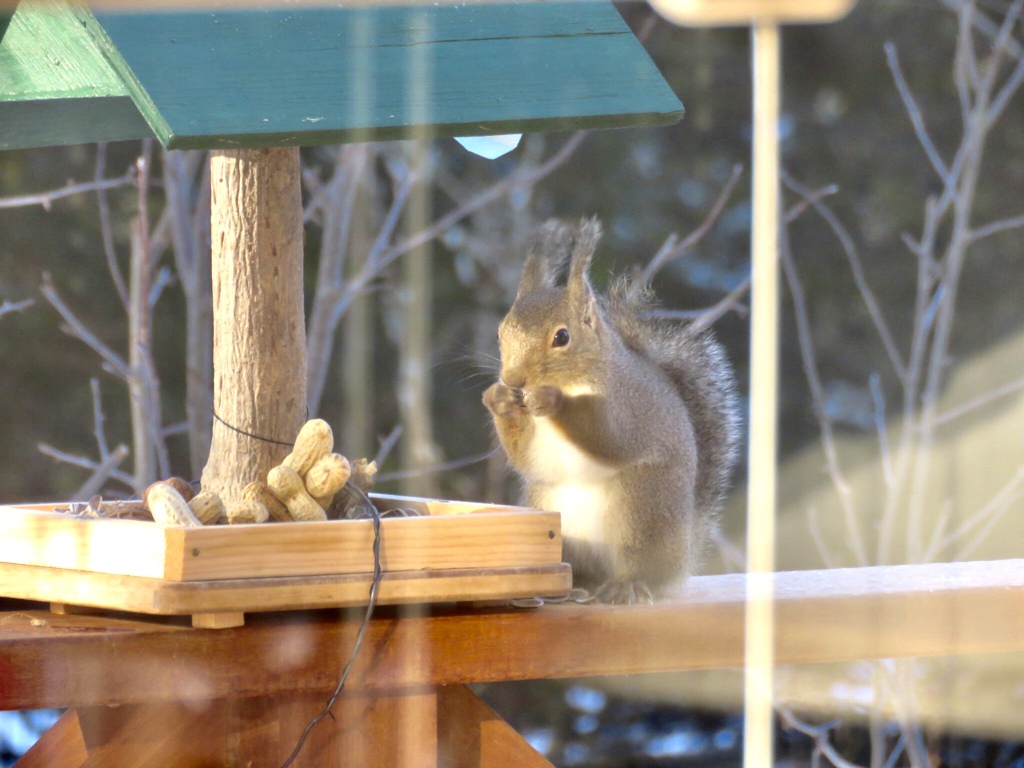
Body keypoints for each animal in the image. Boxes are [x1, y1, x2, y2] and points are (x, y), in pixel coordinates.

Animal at [483, 215, 741, 602]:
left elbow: (610, 438)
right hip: (551, 511)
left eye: (562, 337)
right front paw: (497, 399)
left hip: (641, 509)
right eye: (500, 334)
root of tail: (682, 558)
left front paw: (552, 401)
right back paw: (576, 584)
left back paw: (626, 585)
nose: (513, 379)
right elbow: (528, 458)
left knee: (641, 570)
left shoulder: (627, 405)